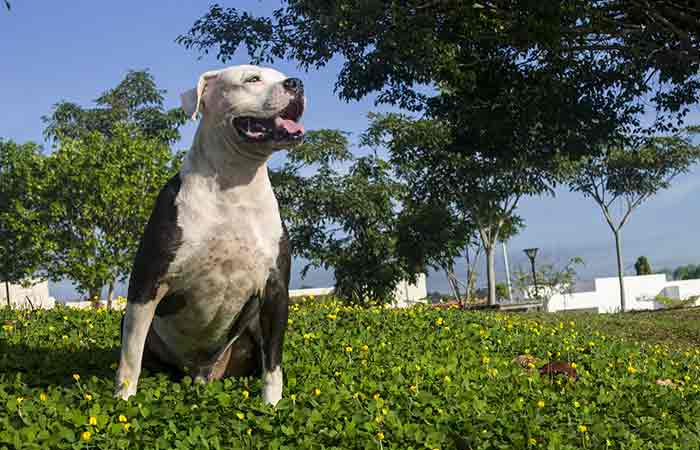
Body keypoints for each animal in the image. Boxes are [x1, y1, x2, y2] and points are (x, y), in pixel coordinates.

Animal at [113, 65, 304, 406]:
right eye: (252, 79)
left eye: (282, 74)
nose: (296, 83)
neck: (234, 183)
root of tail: (203, 373)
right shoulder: (147, 282)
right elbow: (130, 356)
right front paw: (122, 401)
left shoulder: (275, 290)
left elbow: (273, 363)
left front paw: (272, 404)